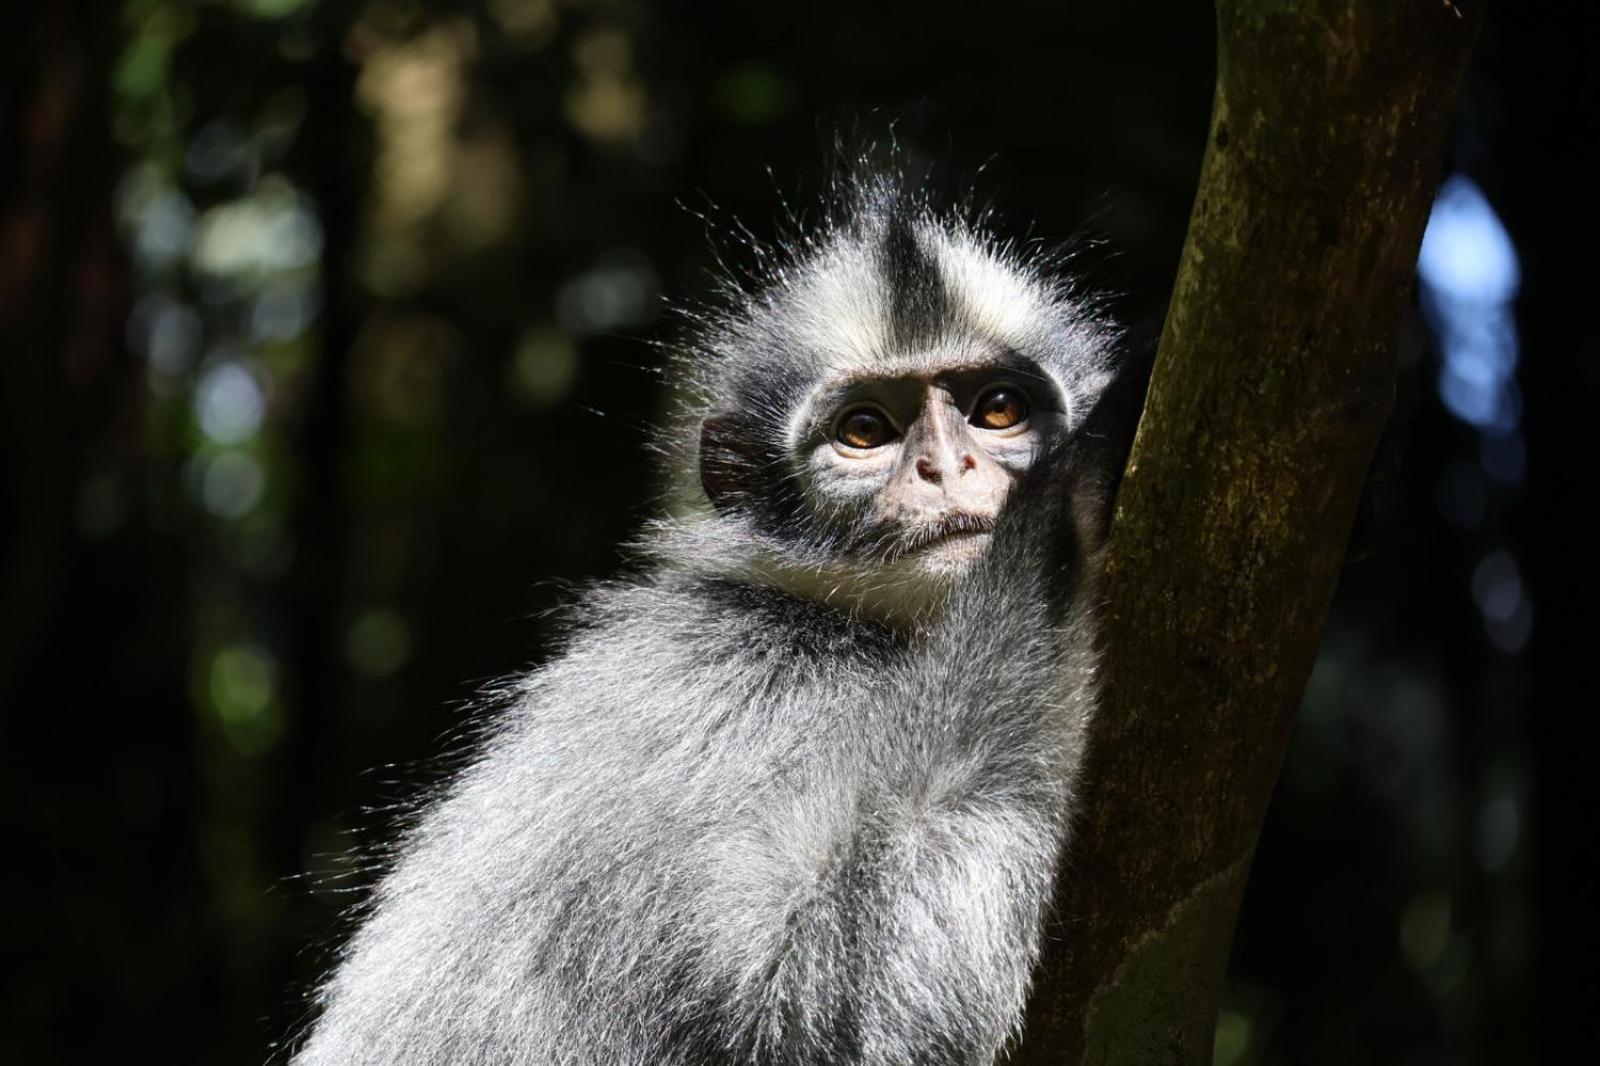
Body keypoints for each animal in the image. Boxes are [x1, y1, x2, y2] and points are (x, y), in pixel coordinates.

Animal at [291, 168, 1139, 1062]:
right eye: (865, 430)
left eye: (998, 410)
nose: (948, 468)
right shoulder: (728, 691)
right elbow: (813, 990)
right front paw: (1055, 507)